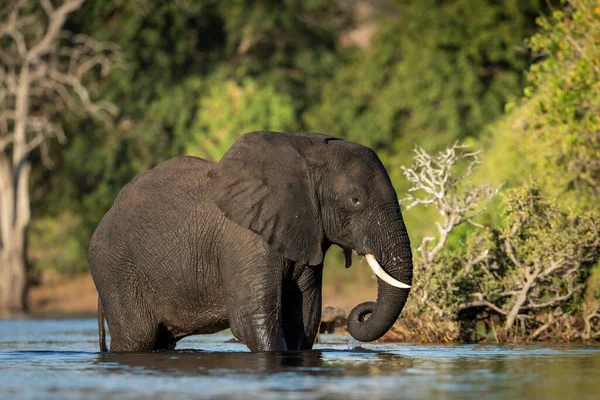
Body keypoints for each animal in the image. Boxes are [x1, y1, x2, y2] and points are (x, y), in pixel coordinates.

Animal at [90, 130, 412, 352]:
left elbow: (304, 319)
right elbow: (253, 319)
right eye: (355, 201)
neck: (305, 153)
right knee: (138, 337)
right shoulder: (246, 240)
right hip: (115, 269)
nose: (362, 311)